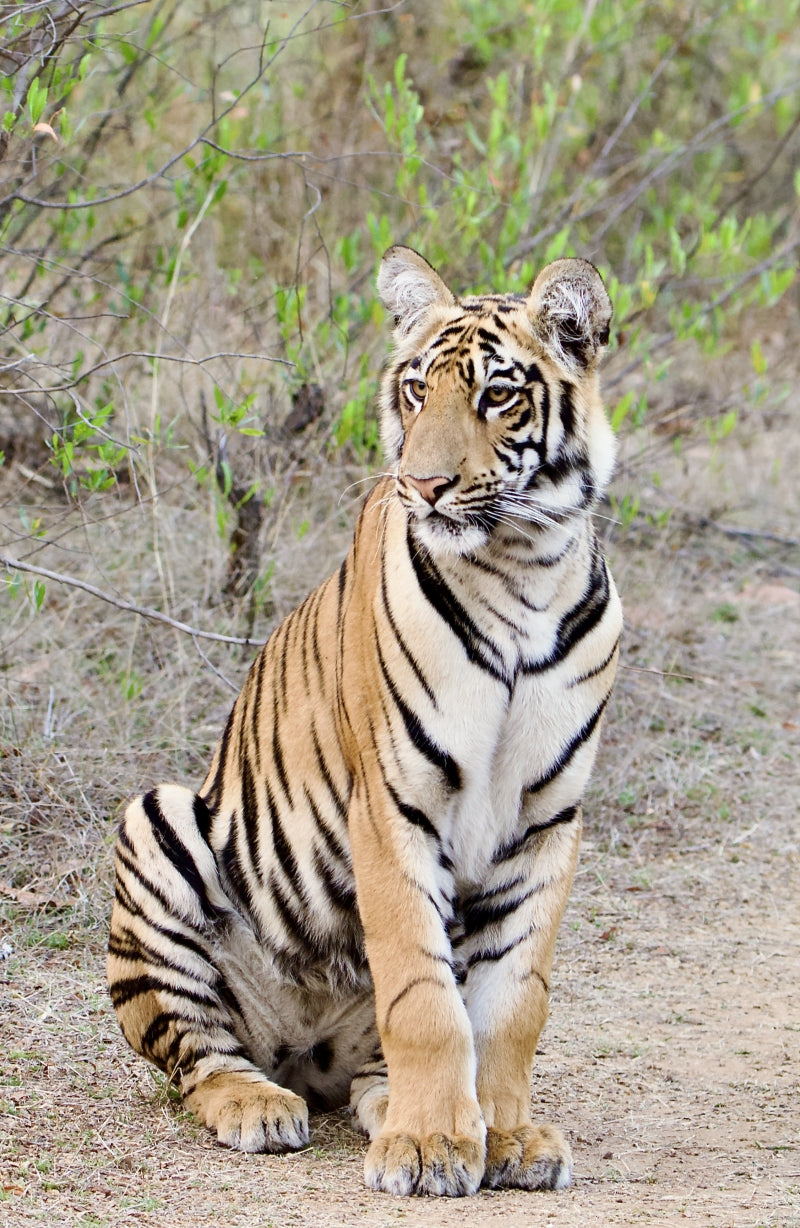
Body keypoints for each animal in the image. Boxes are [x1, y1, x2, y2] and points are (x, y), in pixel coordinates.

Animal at [107, 245, 622, 1198]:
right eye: (418, 390)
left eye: (498, 394)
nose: (424, 483)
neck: (524, 566)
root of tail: (301, 1052)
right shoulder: (393, 802)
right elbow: (422, 995)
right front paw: (430, 1148)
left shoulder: (549, 818)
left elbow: (512, 1000)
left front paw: (506, 1134)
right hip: (155, 824)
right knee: (200, 1054)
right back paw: (262, 1107)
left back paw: (402, 1107)